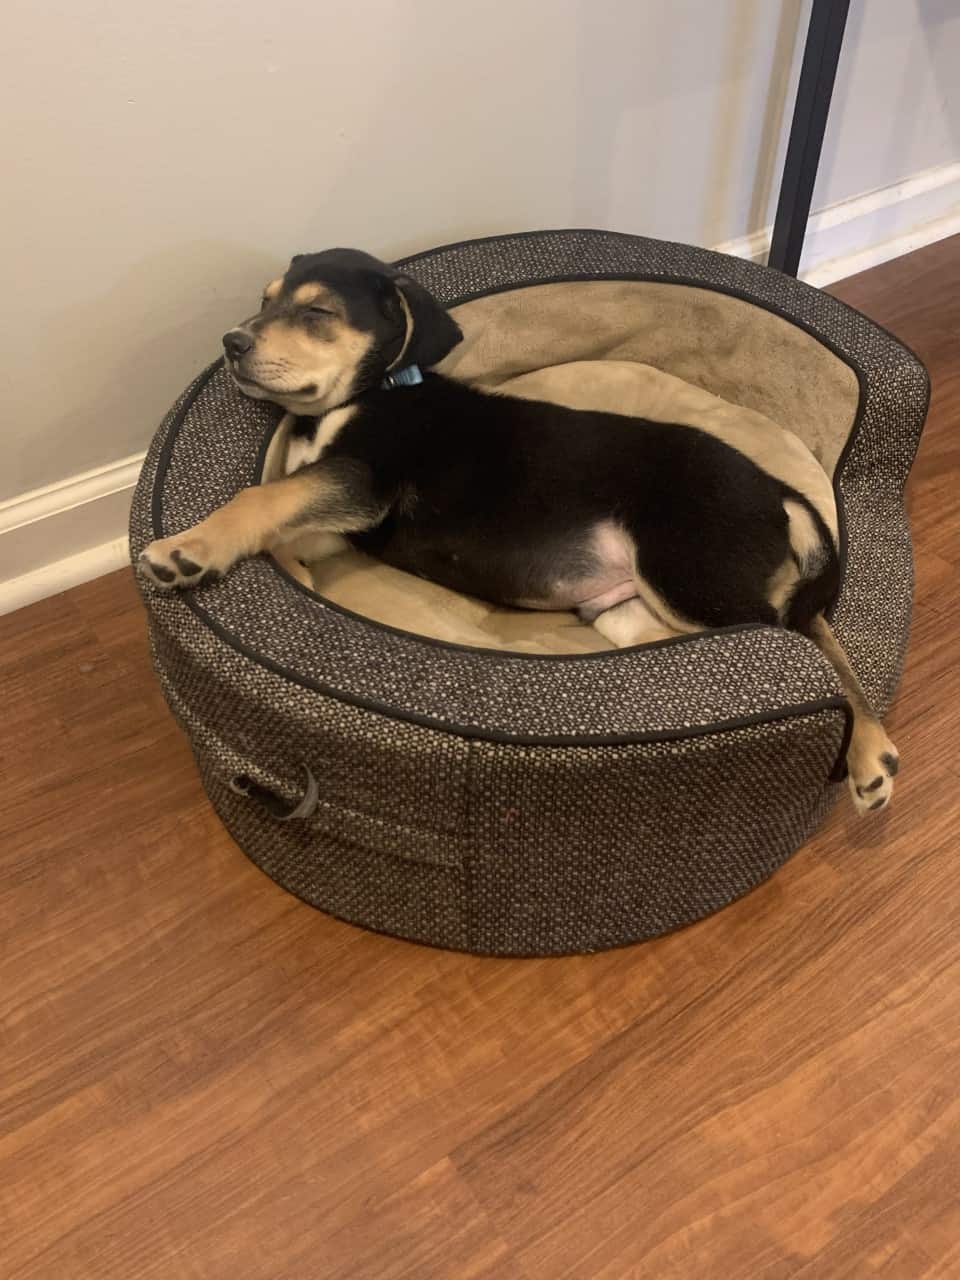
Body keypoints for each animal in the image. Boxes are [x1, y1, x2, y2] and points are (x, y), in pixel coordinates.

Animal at [140, 244, 901, 814]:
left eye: (318, 311)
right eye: (267, 299)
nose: (232, 342)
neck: (373, 391)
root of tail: (778, 490)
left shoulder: (361, 482)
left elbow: (262, 496)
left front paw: (186, 549)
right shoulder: (350, 518)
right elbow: (286, 519)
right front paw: (291, 569)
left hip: (688, 572)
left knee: (807, 639)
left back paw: (868, 749)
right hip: (631, 607)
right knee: (783, 634)